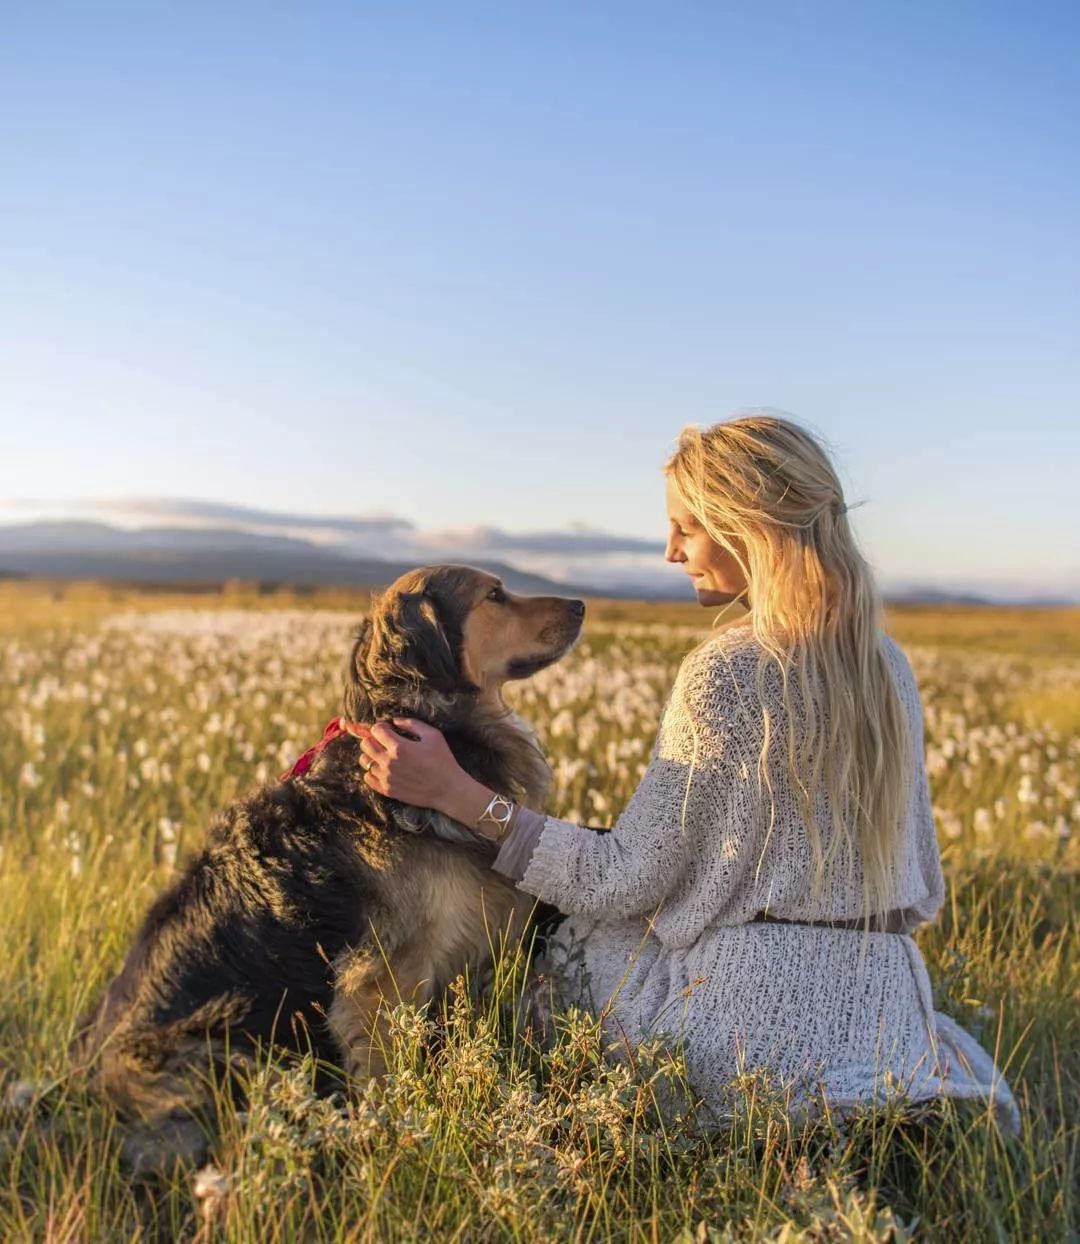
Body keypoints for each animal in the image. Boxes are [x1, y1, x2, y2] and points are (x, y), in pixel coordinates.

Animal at [71, 569, 587, 1169]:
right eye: (494, 595)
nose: (581, 605)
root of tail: (88, 1069)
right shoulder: (381, 981)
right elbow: (386, 1078)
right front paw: (394, 1140)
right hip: (224, 1055)